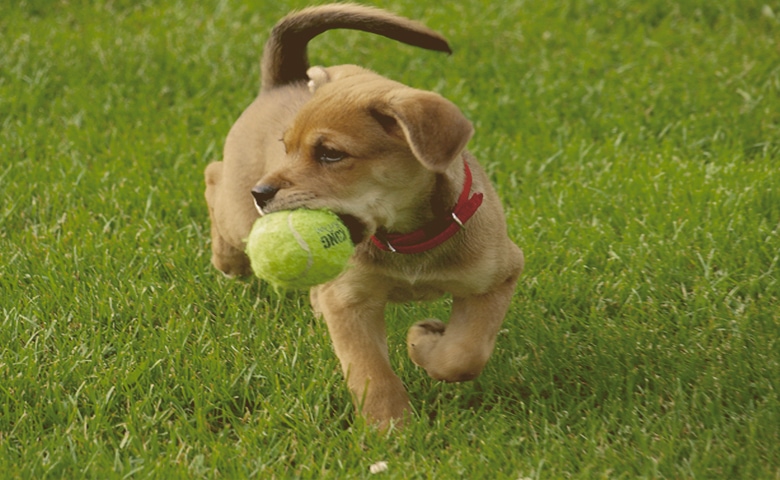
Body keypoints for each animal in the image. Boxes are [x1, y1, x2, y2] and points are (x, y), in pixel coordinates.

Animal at [206, 4, 524, 428]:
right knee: (213, 176)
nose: (262, 193)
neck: (408, 241)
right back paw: (228, 260)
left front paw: (423, 344)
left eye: (331, 154)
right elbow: (370, 371)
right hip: (240, 215)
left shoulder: (499, 274)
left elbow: (465, 352)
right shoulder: (350, 300)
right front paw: (391, 428)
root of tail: (280, 81)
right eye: (285, 148)